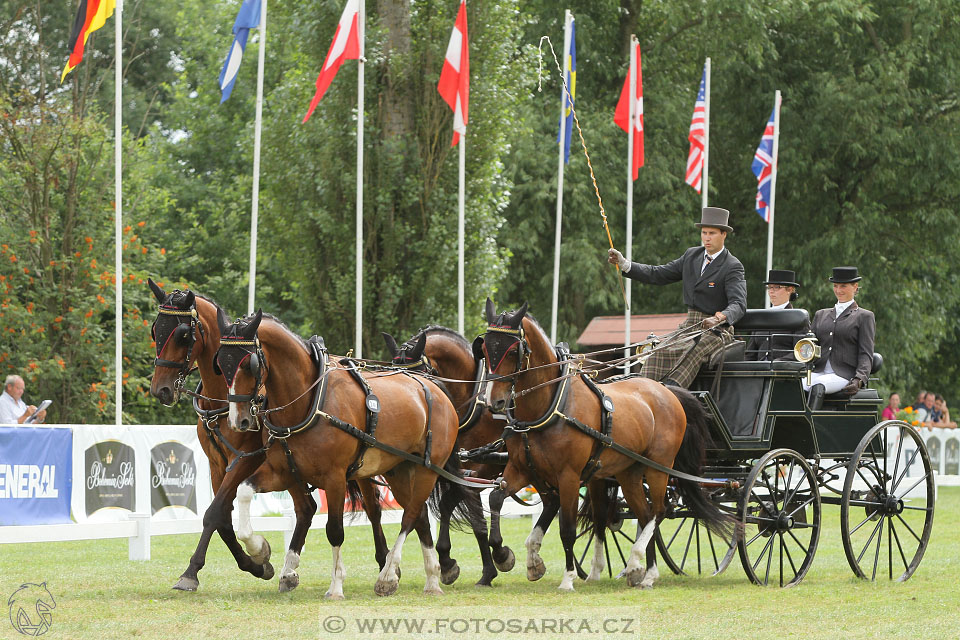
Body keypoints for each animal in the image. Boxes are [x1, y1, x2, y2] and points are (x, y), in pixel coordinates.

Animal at [145, 282, 386, 592]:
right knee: (306, 508)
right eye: (155, 330)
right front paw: (256, 563)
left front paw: (193, 571)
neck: (222, 401)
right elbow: (222, 518)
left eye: (183, 334)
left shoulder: (246, 461)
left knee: (373, 508)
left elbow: (214, 512)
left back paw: (385, 561)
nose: (160, 389)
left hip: (360, 465)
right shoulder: (217, 465)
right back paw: (289, 571)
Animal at [214, 312, 476, 600]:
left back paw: (388, 575)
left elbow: (334, 531)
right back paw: (431, 578)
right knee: (419, 516)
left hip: (427, 469)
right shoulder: (283, 473)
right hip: (400, 469)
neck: (309, 400)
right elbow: (244, 491)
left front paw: (336, 586)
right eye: (220, 365)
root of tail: (436, 389)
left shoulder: (335, 478)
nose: (239, 421)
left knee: (410, 516)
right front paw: (259, 549)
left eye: (248, 364)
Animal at [380, 328, 516, 588]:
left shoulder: (479, 470)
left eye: (420, 375)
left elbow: (475, 518)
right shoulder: (459, 470)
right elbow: (459, 512)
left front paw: (497, 558)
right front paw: (448, 562)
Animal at [480, 298, 728, 592]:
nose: (494, 402)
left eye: (512, 350)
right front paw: (507, 555)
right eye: (484, 348)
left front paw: (567, 579)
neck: (552, 405)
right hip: (629, 473)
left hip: (658, 468)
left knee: (658, 511)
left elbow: (567, 529)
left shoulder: (569, 477)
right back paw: (643, 571)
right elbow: (495, 499)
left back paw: (641, 567)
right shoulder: (523, 470)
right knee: (644, 514)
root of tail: (667, 391)